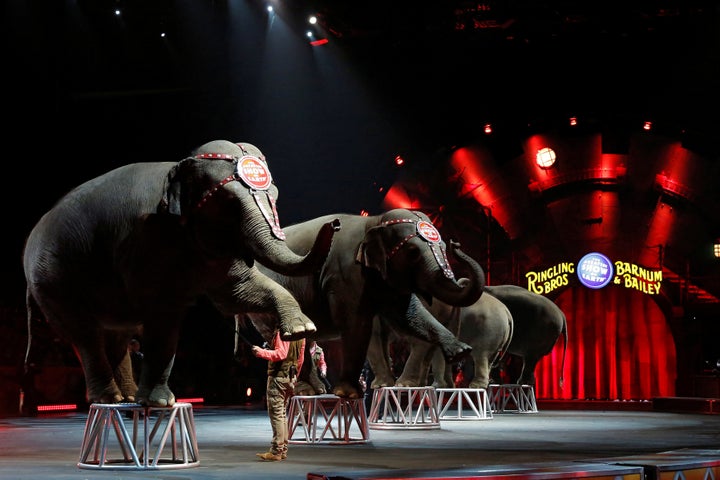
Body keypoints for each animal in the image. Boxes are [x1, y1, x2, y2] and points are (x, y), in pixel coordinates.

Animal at [21, 141, 338, 406]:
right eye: (229, 203)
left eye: (275, 196)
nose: (334, 224)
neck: (178, 166)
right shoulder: (147, 240)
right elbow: (163, 313)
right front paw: (160, 403)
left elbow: (236, 292)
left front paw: (301, 328)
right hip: (51, 281)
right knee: (84, 333)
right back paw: (108, 399)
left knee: (118, 334)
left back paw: (127, 398)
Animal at [239, 208, 486, 400]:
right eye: (413, 252)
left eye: (443, 246)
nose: (456, 243)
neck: (374, 221)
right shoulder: (345, 275)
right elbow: (357, 325)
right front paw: (349, 394)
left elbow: (410, 317)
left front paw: (461, 350)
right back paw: (306, 392)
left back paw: (316, 391)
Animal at [368, 292, 516, 390]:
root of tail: (507, 312)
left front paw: (436, 386)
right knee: (489, 358)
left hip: (488, 330)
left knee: (480, 355)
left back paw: (475, 386)